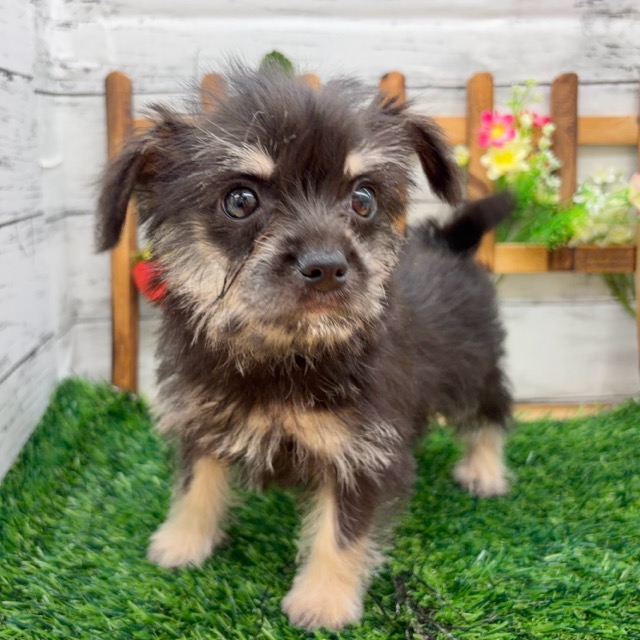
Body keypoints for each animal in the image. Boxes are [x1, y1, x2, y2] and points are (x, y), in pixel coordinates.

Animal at [96, 65, 513, 630]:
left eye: (363, 198)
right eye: (241, 200)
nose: (327, 266)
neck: (283, 356)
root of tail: (451, 241)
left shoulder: (362, 452)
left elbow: (342, 531)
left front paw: (323, 600)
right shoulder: (202, 418)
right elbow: (195, 484)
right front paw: (182, 541)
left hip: (475, 369)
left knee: (490, 414)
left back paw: (485, 472)